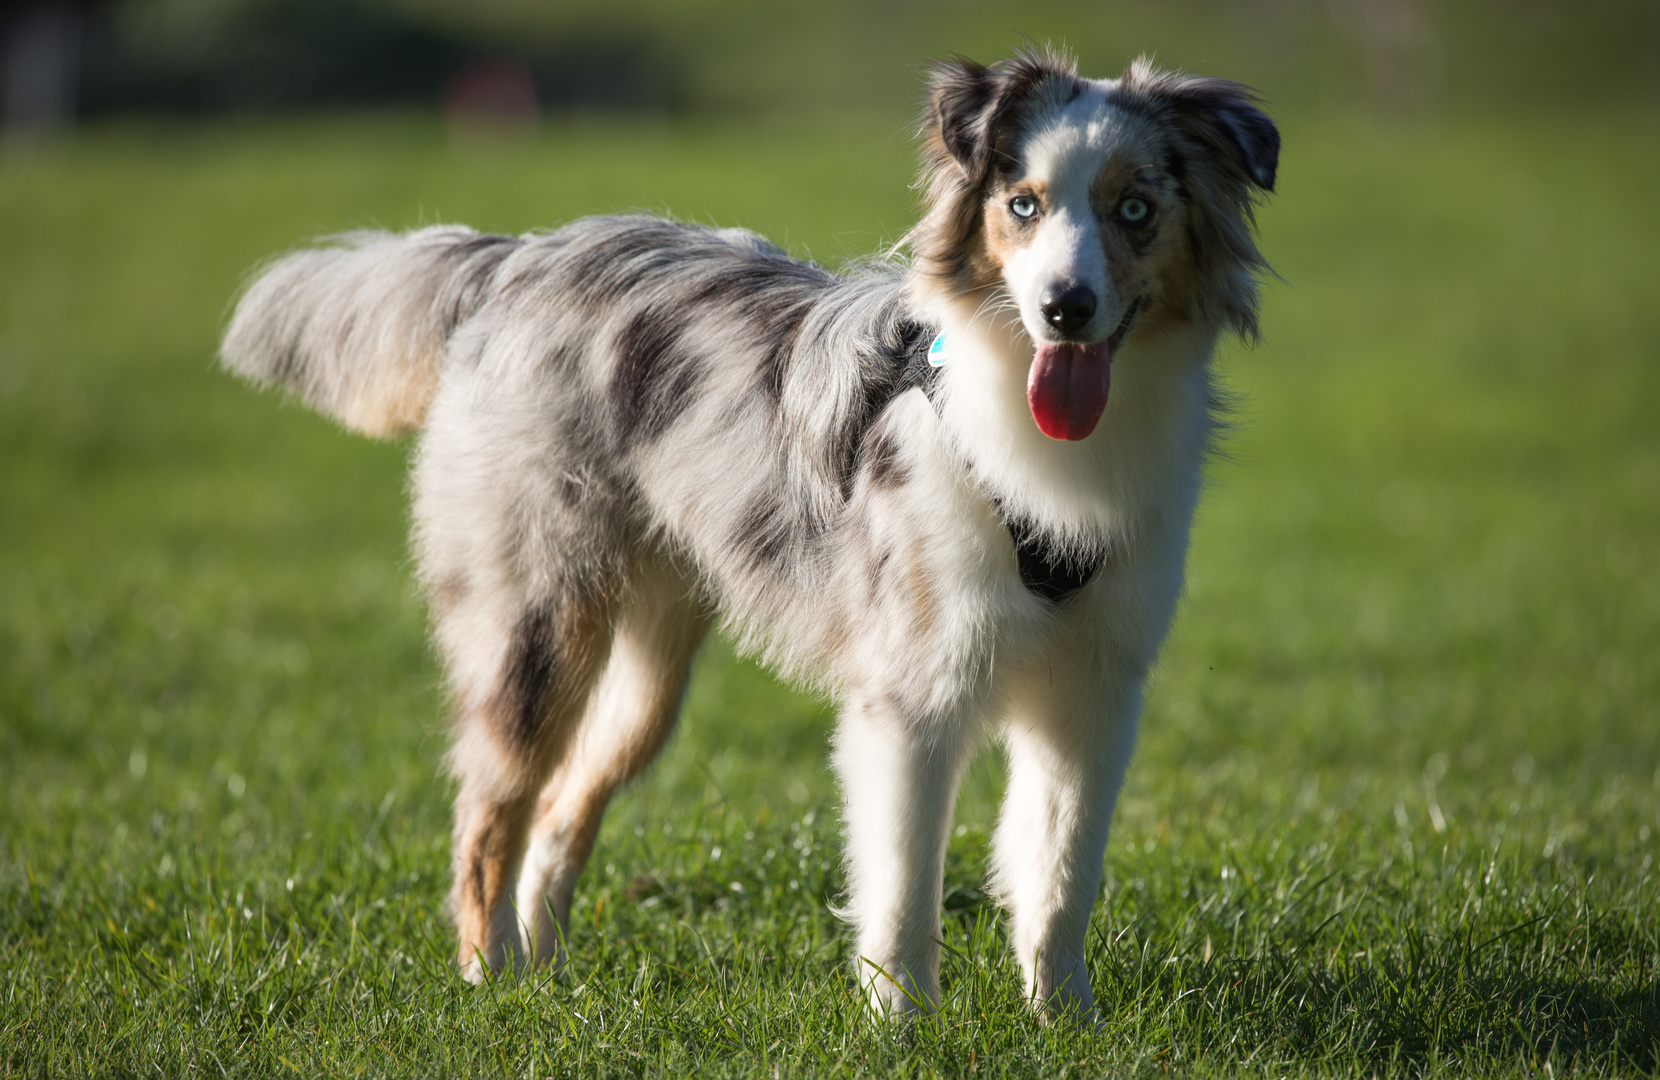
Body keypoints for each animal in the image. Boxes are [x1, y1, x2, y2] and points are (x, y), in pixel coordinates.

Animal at [220, 44, 1274, 1021]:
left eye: (1133, 210)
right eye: (1022, 204)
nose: (1064, 308)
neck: (1036, 440)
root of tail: (515, 256)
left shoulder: (1093, 690)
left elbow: (1058, 876)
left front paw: (1064, 1026)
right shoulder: (911, 695)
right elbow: (905, 889)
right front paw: (904, 1032)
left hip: (650, 675)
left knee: (561, 809)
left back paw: (549, 985)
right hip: (537, 624)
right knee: (492, 811)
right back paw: (492, 984)